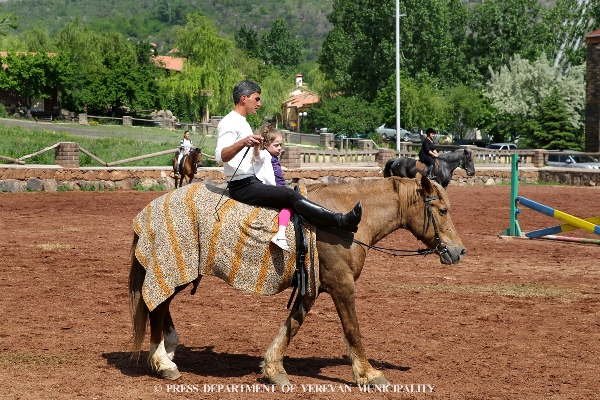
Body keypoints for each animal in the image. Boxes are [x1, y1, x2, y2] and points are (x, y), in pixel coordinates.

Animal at [130, 175, 468, 384]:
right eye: (442, 210)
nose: (458, 250)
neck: (342, 221)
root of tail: (150, 208)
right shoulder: (342, 284)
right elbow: (352, 329)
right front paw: (369, 374)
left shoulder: (314, 287)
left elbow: (292, 324)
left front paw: (272, 368)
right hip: (175, 267)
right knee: (157, 306)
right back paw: (162, 362)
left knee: (160, 305)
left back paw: (169, 349)